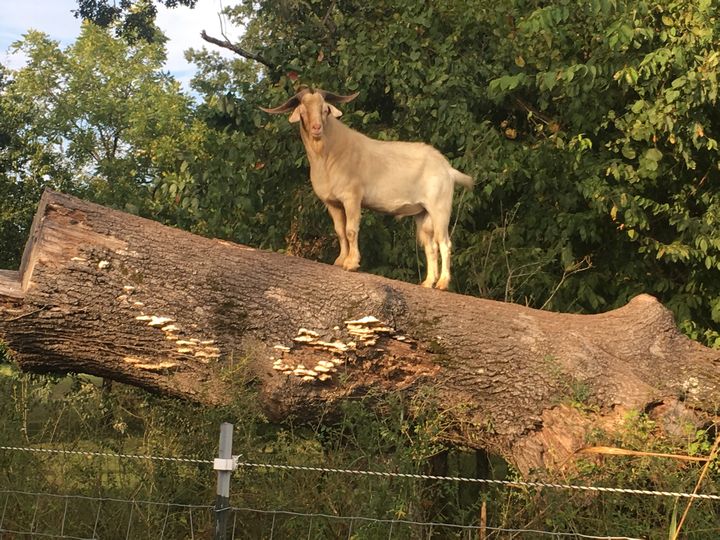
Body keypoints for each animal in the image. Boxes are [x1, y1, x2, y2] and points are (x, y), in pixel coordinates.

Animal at [262, 87, 476, 292]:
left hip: (440, 206)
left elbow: (350, 230)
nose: (316, 128)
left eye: (324, 110)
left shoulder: (352, 197)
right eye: (303, 111)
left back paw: (442, 283)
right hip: (423, 213)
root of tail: (448, 170)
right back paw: (428, 282)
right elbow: (339, 231)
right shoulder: (332, 203)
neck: (328, 154)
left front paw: (352, 263)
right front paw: (340, 260)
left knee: (444, 243)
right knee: (430, 246)